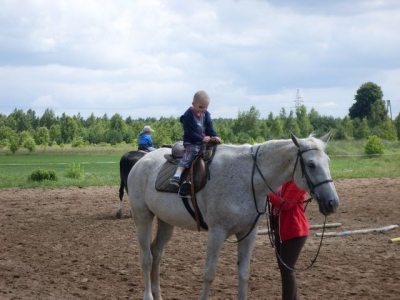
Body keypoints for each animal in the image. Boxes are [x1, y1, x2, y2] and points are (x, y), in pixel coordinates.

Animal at [127, 134, 338, 300]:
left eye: (328, 162)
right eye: (311, 164)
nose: (332, 202)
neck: (247, 179)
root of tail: (141, 162)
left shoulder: (248, 234)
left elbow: (243, 274)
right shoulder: (217, 232)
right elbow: (209, 274)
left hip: (165, 222)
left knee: (156, 254)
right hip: (143, 218)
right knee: (147, 258)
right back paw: (148, 295)